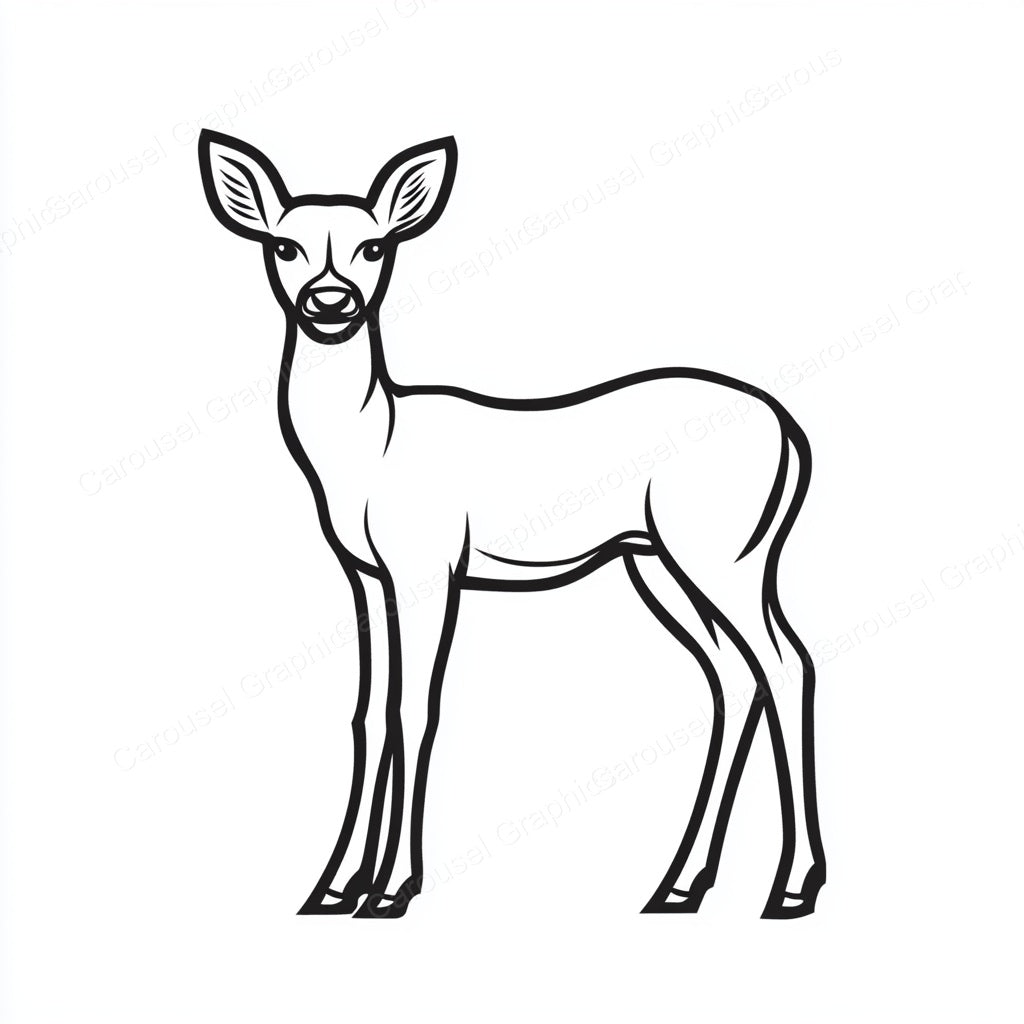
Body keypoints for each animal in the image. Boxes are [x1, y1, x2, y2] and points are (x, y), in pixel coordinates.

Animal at [198, 129, 826, 920]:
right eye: (283, 245)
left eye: (375, 246)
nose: (331, 301)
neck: (373, 446)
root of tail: (790, 433)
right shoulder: (365, 575)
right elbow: (367, 713)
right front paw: (333, 888)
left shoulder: (429, 564)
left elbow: (416, 709)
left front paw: (392, 889)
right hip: (658, 561)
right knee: (734, 677)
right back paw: (678, 885)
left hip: (723, 552)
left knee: (787, 664)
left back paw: (792, 886)